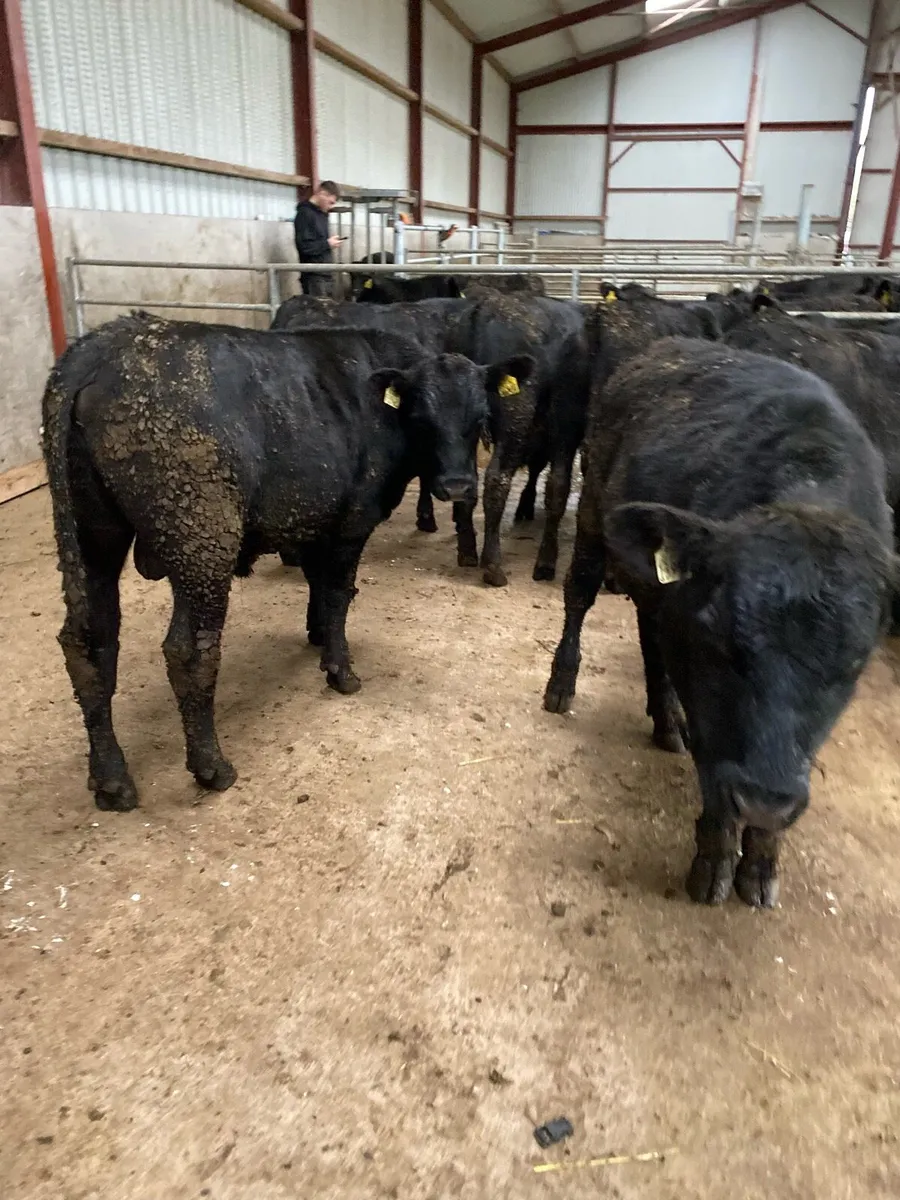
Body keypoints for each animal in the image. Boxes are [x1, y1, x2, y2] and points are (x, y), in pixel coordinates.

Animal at [43, 311, 531, 810]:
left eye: (479, 418)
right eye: (422, 417)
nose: (457, 485)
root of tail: (103, 345)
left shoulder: (318, 519)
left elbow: (319, 585)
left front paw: (316, 636)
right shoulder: (353, 519)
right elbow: (338, 594)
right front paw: (340, 671)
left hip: (94, 537)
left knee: (90, 645)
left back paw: (111, 779)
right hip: (202, 541)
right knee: (189, 652)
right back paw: (211, 766)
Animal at [543, 339, 895, 908]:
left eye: (854, 664)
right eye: (722, 644)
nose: (763, 798)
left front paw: (761, 864)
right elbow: (713, 767)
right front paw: (713, 863)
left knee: (649, 633)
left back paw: (666, 722)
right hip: (594, 510)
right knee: (579, 594)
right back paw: (562, 685)